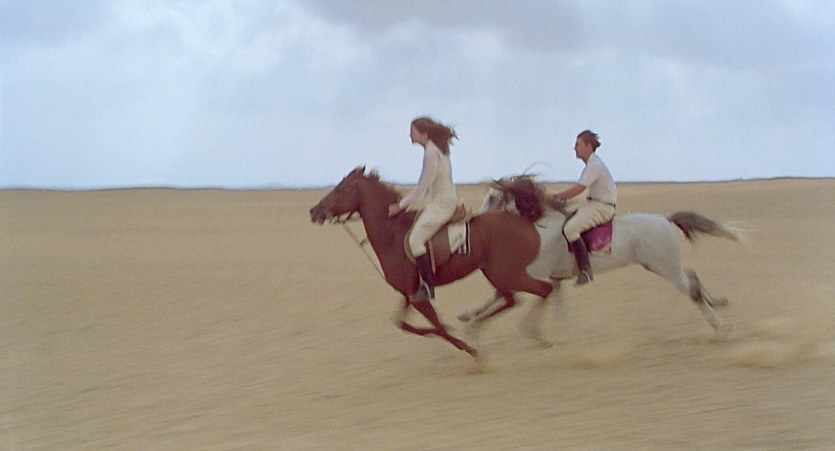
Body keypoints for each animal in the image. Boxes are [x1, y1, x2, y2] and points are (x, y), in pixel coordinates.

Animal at [308, 167, 560, 360]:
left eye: (340, 189)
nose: (314, 211)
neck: (393, 234)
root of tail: (524, 220)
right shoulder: (410, 294)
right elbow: (404, 324)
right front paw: (450, 335)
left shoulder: (419, 297)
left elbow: (437, 326)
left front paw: (472, 352)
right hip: (494, 273)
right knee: (513, 299)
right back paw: (480, 326)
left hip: (506, 273)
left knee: (543, 290)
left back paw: (533, 333)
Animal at [457, 175, 742, 340]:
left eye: (492, 198)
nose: (474, 221)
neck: (542, 226)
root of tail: (665, 219)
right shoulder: (545, 276)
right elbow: (514, 295)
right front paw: (466, 315)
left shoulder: (533, 272)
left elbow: (504, 292)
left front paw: (471, 320)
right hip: (659, 265)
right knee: (692, 277)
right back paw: (718, 303)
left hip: (665, 267)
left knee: (692, 291)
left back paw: (719, 326)